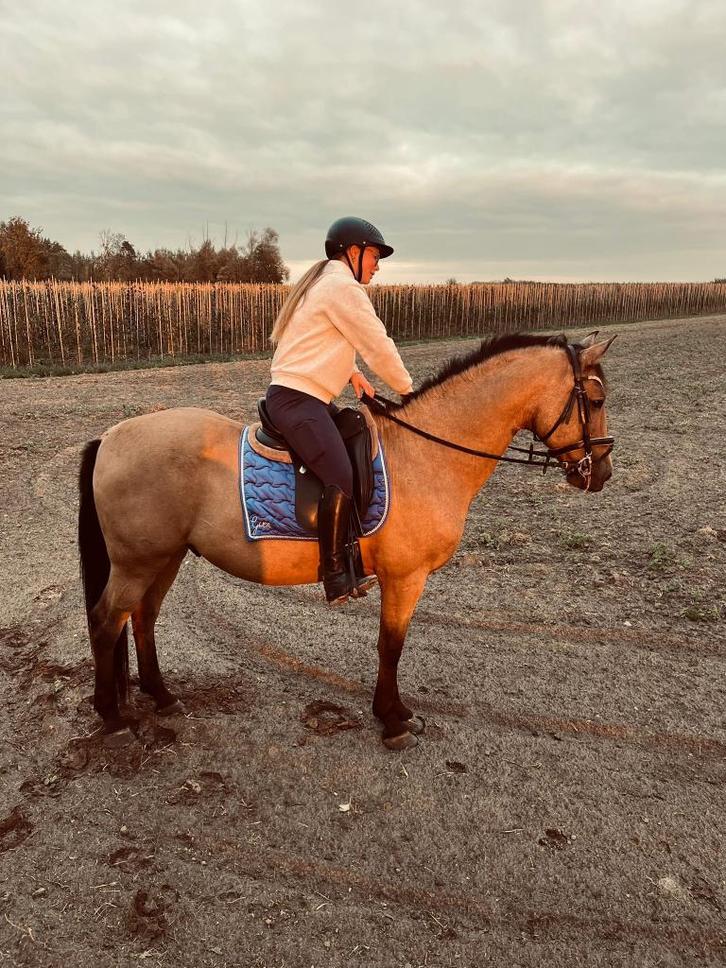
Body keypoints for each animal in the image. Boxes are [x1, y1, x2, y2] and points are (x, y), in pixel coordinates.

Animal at [78, 331, 616, 750]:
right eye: (596, 401)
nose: (602, 474)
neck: (425, 453)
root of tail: (111, 437)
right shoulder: (405, 577)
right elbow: (390, 645)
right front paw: (393, 719)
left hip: (164, 557)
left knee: (142, 618)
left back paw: (161, 696)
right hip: (137, 562)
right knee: (107, 621)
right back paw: (113, 718)